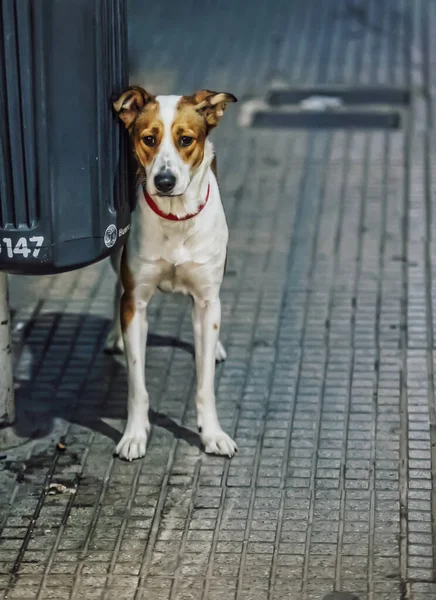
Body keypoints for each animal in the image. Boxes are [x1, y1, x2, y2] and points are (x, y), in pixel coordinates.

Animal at [106, 85, 238, 460]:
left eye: (186, 139)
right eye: (149, 139)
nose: (164, 181)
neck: (176, 218)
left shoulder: (206, 302)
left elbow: (205, 383)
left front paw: (213, 435)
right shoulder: (136, 301)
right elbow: (137, 385)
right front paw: (134, 435)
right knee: (117, 288)